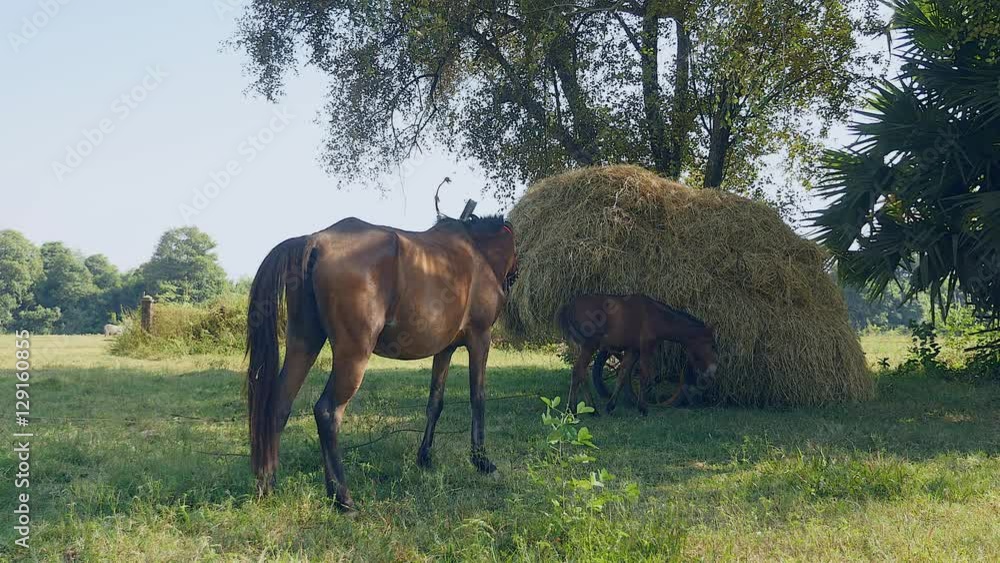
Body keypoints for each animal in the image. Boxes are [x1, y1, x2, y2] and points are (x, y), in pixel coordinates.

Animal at [245, 215, 517, 514]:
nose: (513, 279)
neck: (477, 253)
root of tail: (315, 241)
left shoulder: (444, 350)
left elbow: (435, 402)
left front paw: (425, 457)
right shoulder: (480, 338)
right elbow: (477, 397)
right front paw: (482, 461)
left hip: (304, 343)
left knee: (279, 404)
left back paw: (268, 484)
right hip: (353, 355)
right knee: (327, 412)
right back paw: (343, 498)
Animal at [556, 294, 718, 415]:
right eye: (712, 345)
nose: (713, 370)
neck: (656, 316)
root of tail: (569, 306)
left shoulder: (633, 350)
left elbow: (622, 375)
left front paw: (611, 406)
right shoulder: (646, 348)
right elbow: (645, 376)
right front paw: (643, 408)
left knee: (581, 374)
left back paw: (590, 409)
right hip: (589, 346)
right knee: (578, 371)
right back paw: (575, 409)